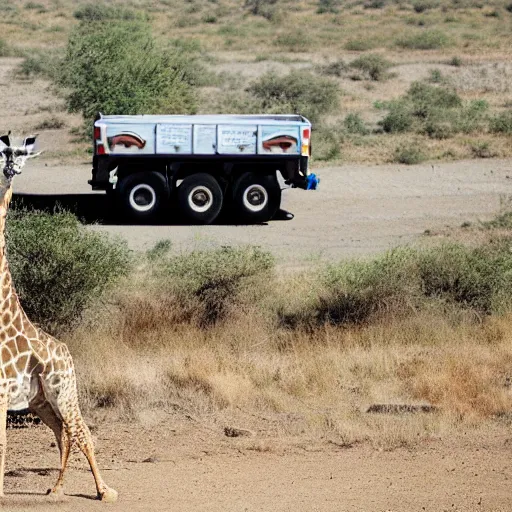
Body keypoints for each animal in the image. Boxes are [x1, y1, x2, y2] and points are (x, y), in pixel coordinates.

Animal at [0, 134, 118, 502]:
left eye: (24, 154)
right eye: (4, 153)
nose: (11, 170)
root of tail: (67, 352)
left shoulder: (1, 393)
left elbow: (1, 443)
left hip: (65, 391)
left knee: (81, 430)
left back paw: (104, 491)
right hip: (41, 401)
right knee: (63, 433)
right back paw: (56, 488)